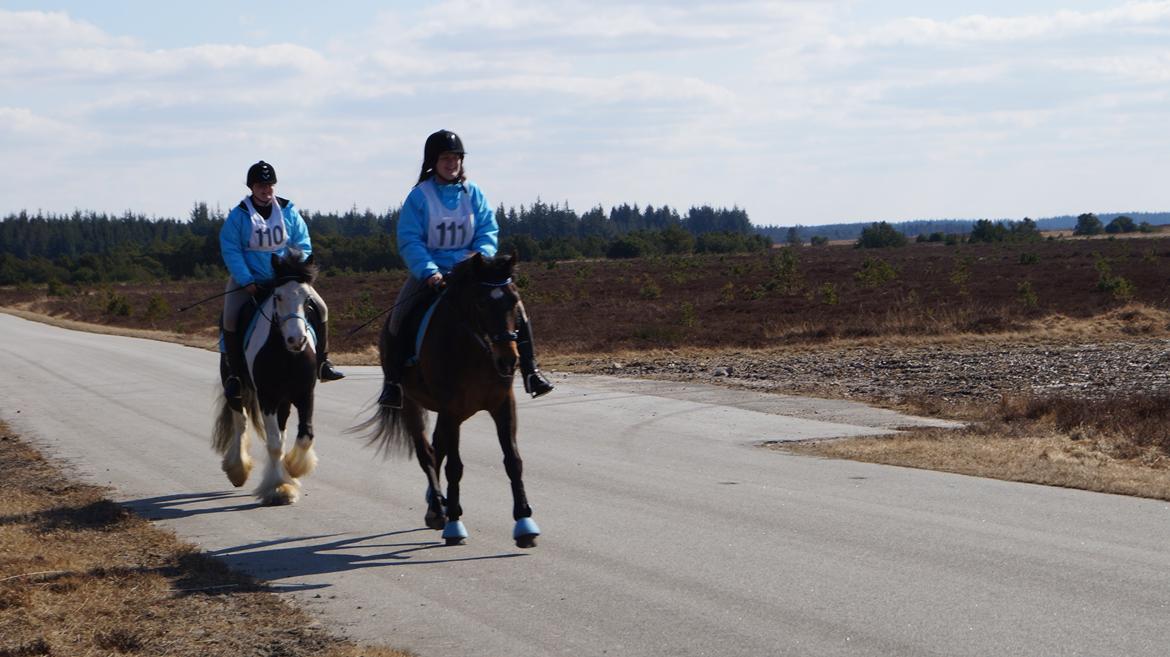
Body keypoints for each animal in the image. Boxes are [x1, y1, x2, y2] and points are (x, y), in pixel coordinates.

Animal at [214, 253, 320, 502]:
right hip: (236, 389)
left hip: (284, 400)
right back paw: (238, 470)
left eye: (307, 298)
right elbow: (273, 444)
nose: (296, 340)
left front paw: (293, 468)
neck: (287, 355)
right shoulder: (268, 397)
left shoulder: (304, 394)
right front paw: (279, 487)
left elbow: (305, 436)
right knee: (241, 422)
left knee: (281, 432)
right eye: (278, 297)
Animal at [353, 253, 540, 544]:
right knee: (426, 453)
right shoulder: (451, 407)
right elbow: (455, 466)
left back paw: (435, 505)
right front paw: (454, 523)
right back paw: (439, 510)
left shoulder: (502, 405)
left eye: (514, 300)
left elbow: (513, 461)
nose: (509, 360)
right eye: (481, 303)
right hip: (413, 406)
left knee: (436, 447)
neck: (477, 350)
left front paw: (524, 523)